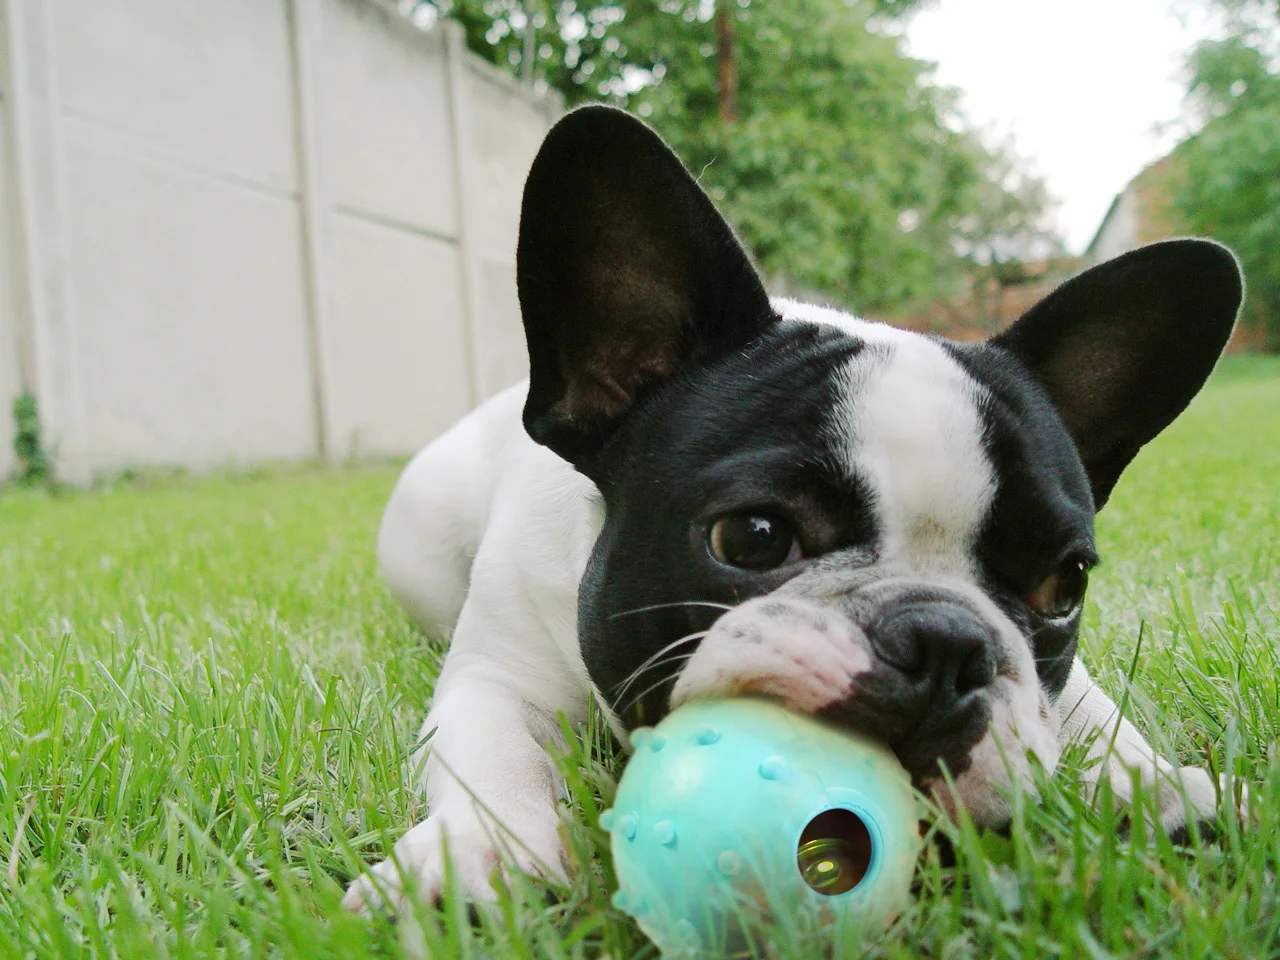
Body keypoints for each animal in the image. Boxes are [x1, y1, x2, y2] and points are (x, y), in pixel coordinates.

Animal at [340, 106, 1239, 916]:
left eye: (1065, 585)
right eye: (753, 536)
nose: (944, 642)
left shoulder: (1058, 682)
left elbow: (1089, 712)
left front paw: (1151, 786)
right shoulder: (497, 676)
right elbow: (493, 759)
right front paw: (480, 854)